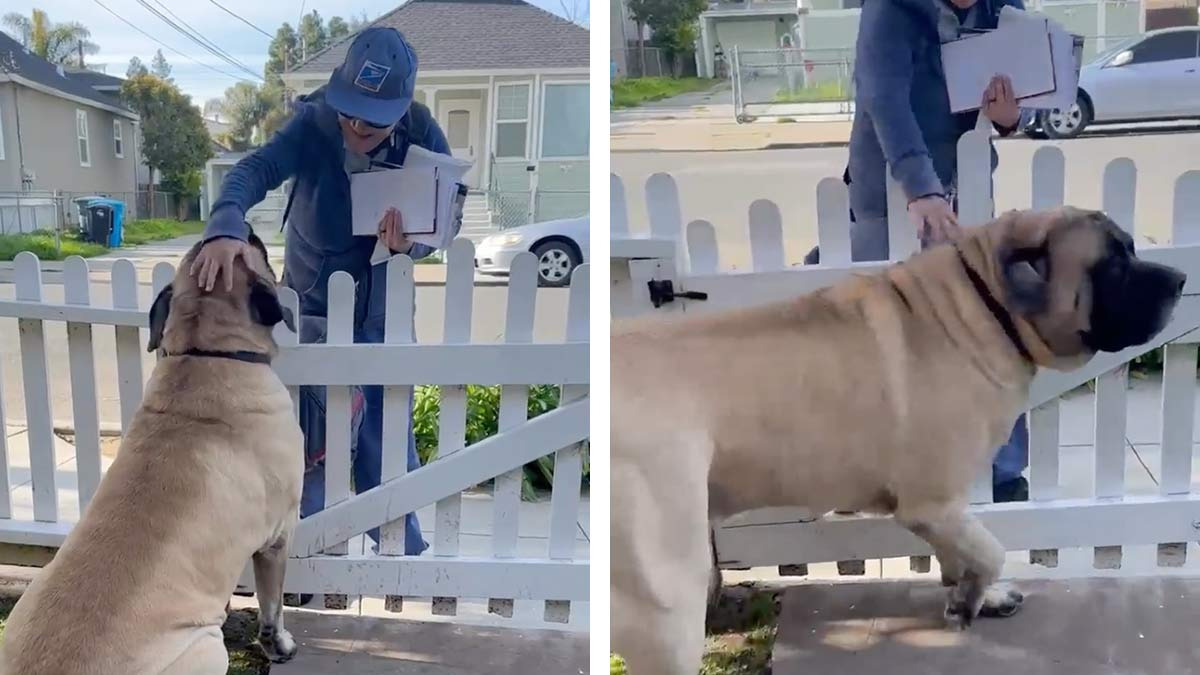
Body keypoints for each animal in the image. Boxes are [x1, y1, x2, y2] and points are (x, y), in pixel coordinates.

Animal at [2, 229, 302, 667]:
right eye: (256, 251)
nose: (246, 229)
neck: (203, 354)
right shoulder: (277, 538)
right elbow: (272, 607)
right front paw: (280, 645)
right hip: (206, 647)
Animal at [614, 207, 1185, 667]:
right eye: (1112, 265)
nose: (1180, 279)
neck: (987, 305)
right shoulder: (932, 503)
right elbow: (992, 549)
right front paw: (970, 601)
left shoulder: (944, 509)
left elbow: (963, 554)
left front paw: (974, 596)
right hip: (668, 604)